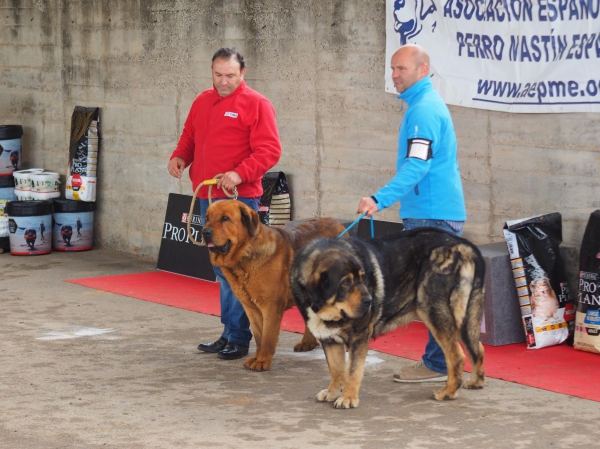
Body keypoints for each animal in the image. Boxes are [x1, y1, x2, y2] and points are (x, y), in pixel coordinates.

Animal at [290, 229, 488, 408]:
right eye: (346, 282)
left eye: (362, 278)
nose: (370, 301)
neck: (328, 311)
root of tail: (464, 245)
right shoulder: (329, 339)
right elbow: (336, 369)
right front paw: (332, 392)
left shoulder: (359, 337)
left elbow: (352, 371)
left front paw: (348, 397)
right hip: (463, 316)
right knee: (477, 347)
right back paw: (476, 382)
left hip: (435, 312)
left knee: (457, 356)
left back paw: (448, 392)